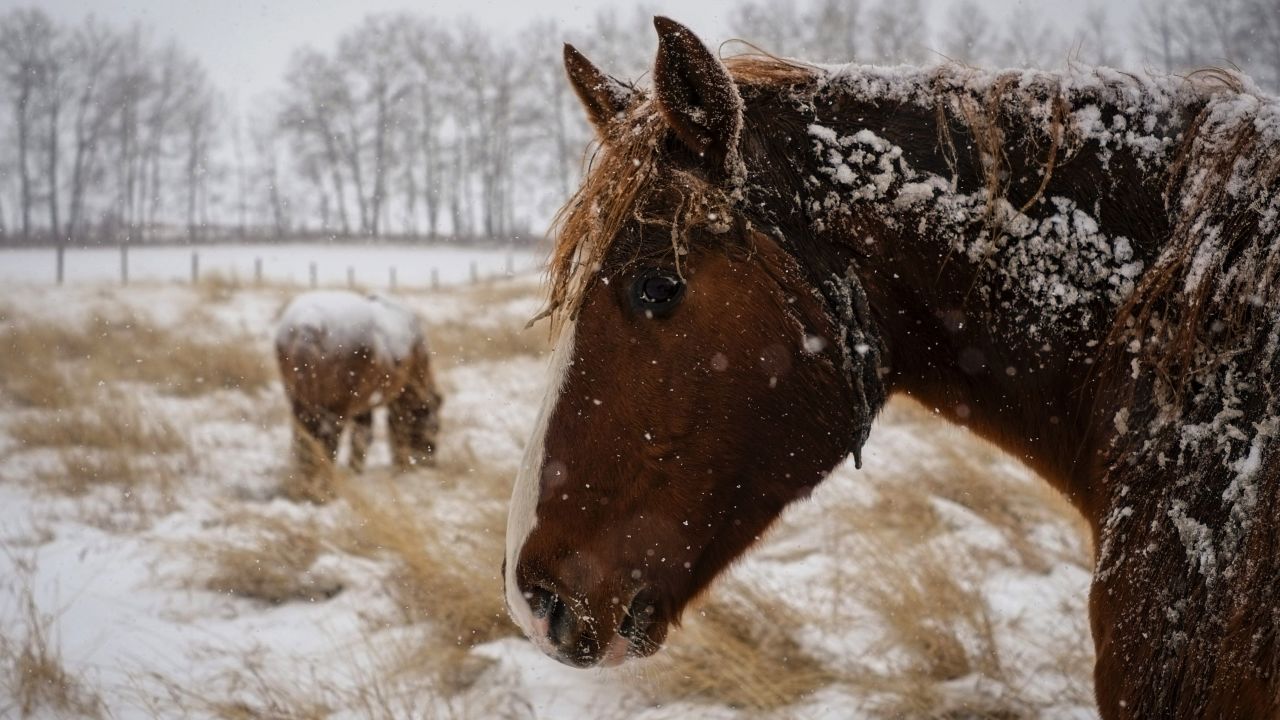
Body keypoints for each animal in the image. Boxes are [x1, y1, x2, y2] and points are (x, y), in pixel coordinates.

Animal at [275, 290, 442, 474]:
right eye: (436, 427)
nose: (430, 463)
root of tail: (310, 323)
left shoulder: (363, 406)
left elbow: (361, 437)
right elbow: (392, 431)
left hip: (298, 401)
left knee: (303, 439)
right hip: (336, 406)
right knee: (329, 440)